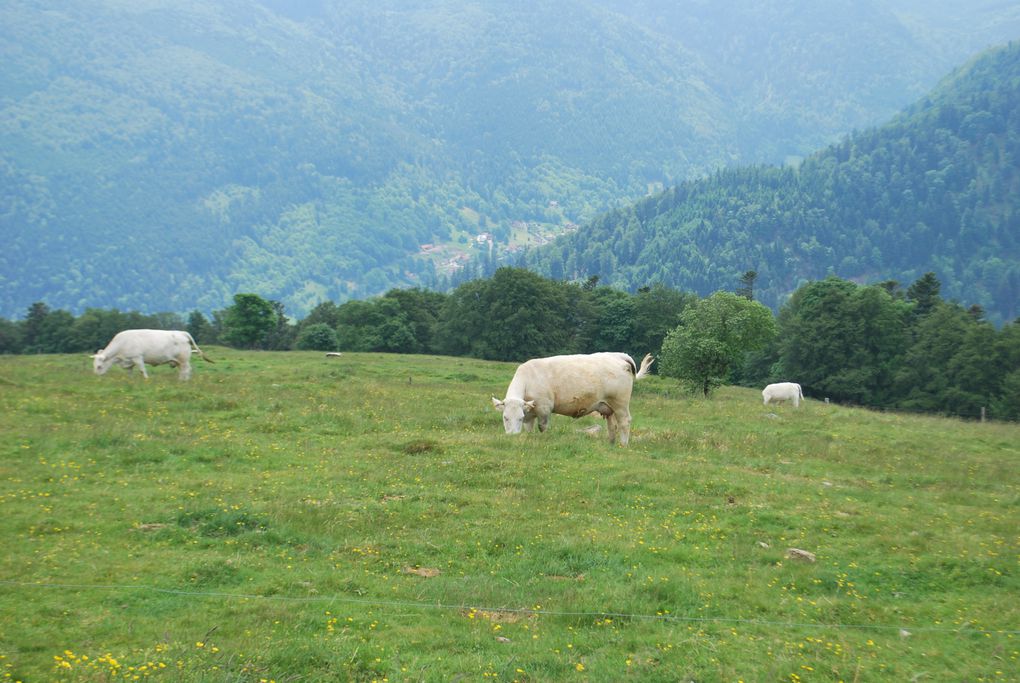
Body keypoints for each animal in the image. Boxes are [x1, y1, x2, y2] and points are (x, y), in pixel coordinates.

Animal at [491, 352, 652, 448]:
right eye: (505, 418)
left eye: (519, 418)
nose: (512, 436)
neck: (529, 379)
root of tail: (618, 355)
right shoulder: (530, 412)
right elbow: (529, 428)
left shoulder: (544, 408)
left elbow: (542, 427)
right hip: (608, 406)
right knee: (612, 425)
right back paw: (610, 444)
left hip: (620, 403)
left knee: (624, 422)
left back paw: (623, 445)